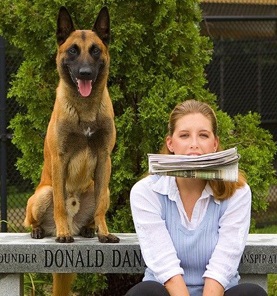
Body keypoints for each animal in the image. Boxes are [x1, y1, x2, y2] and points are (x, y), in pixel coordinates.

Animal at [23, 6, 118, 245]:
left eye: (95, 50)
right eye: (73, 51)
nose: (85, 73)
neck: (84, 109)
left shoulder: (104, 158)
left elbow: (100, 206)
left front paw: (104, 232)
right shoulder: (60, 158)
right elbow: (59, 204)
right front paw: (62, 233)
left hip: (102, 188)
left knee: (96, 206)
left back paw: (88, 228)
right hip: (42, 194)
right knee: (33, 220)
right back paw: (42, 230)